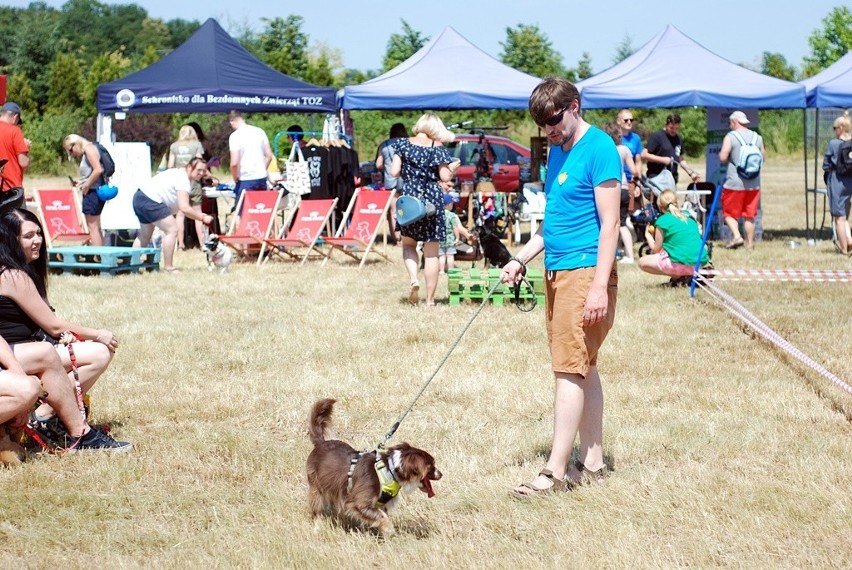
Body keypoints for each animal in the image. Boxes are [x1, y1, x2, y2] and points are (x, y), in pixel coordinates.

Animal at [306, 398, 442, 536]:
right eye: (431, 466)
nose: (441, 474)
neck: (390, 470)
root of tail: (321, 443)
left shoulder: (380, 504)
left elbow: (381, 515)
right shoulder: (360, 502)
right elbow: (382, 517)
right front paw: (390, 530)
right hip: (316, 486)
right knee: (317, 508)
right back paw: (317, 528)